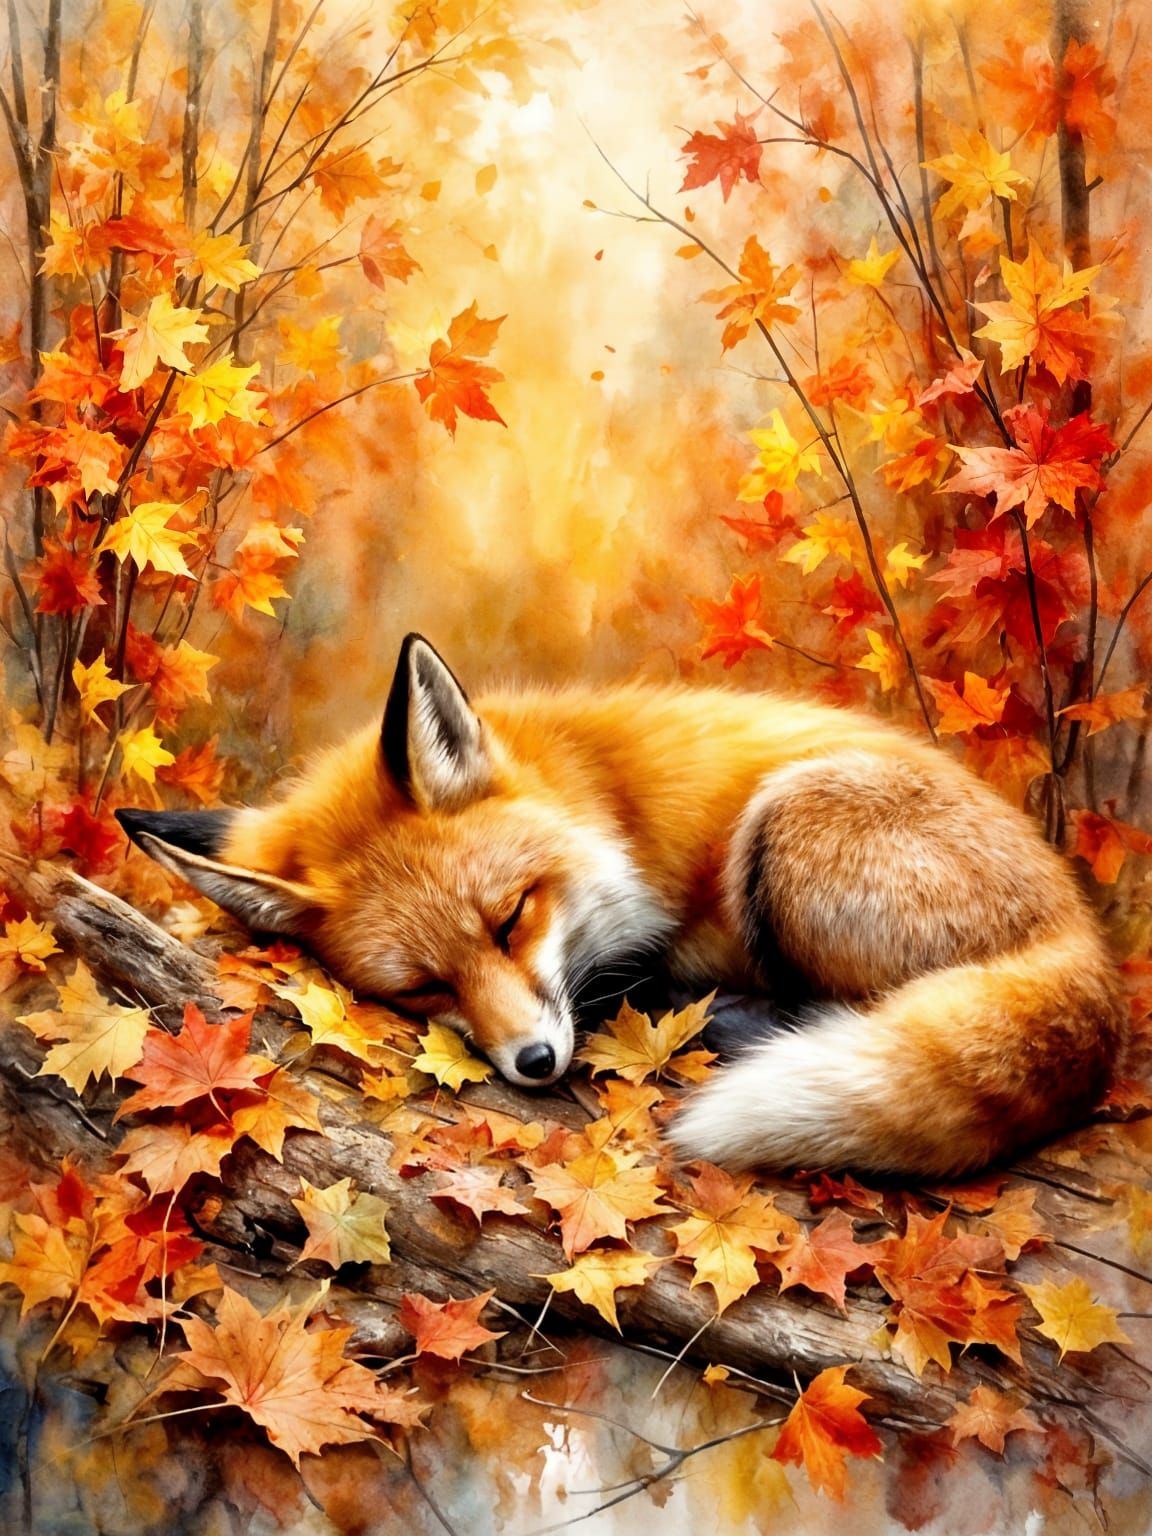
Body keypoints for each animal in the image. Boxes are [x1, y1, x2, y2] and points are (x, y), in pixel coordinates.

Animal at [116, 633, 1127, 1178]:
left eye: (511, 919)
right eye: (422, 989)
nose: (533, 1062)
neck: (596, 799)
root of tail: (1081, 934)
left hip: (788, 823)